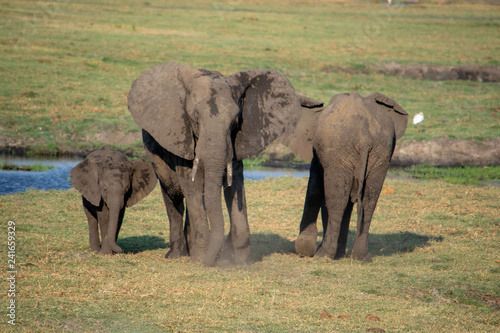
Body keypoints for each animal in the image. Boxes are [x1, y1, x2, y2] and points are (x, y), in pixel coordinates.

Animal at [125, 61, 320, 264]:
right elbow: (192, 187)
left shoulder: (234, 143)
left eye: (235, 120)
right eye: (195, 118)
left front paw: (237, 260)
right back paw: (177, 255)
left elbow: (235, 185)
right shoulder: (182, 137)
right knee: (174, 197)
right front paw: (199, 260)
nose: (210, 261)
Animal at [280, 91, 408, 262]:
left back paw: (324, 255)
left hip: (340, 151)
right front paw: (338, 254)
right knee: (369, 201)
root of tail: (365, 135)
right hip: (381, 152)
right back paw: (360, 257)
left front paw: (305, 248)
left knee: (336, 201)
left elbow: (315, 189)